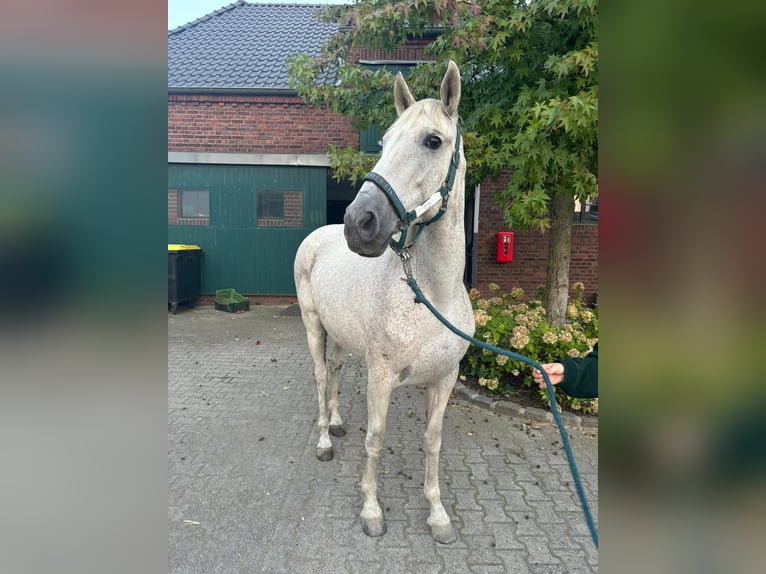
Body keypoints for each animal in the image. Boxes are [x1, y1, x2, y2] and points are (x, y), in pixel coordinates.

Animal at [294, 60, 474, 548]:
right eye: (384, 141)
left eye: (433, 140)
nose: (359, 222)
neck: (432, 294)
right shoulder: (382, 377)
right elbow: (375, 439)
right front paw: (371, 511)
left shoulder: (444, 380)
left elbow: (432, 441)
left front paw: (438, 516)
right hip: (314, 326)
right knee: (321, 377)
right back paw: (324, 442)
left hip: (341, 336)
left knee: (336, 371)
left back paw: (336, 422)